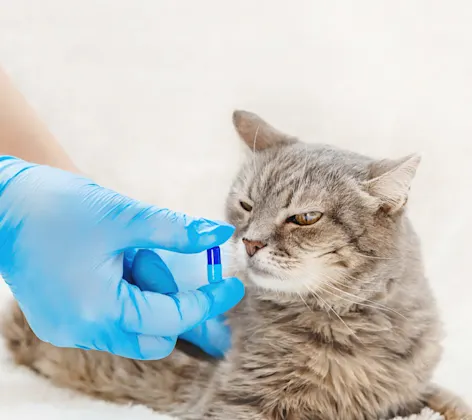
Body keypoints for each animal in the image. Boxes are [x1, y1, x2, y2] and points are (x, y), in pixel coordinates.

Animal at [2, 110, 468, 420]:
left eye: (306, 217)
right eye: (246, 205)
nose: (250, 242)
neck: (356, 322)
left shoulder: (409, 391)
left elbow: (445, 399)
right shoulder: (241, 403)